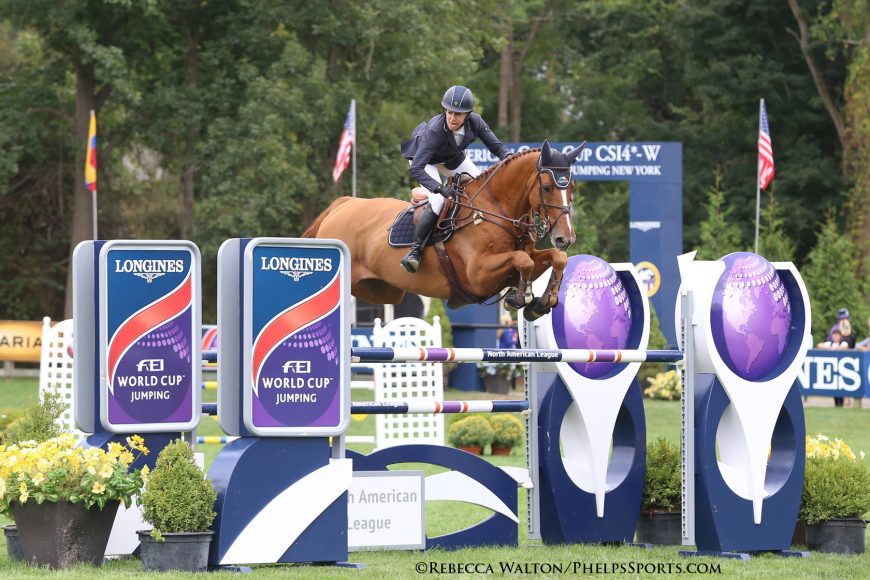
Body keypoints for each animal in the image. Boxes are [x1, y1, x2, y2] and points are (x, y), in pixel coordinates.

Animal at [304, 141, 584, 322]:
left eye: (571, 188)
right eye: (547, 188)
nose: (565, 237)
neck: (497, 210)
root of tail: (343, 204)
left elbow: (556, 258)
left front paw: (542, 303)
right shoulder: (478, 275)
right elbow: (523, 260)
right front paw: (520, 298)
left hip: (382, 290)